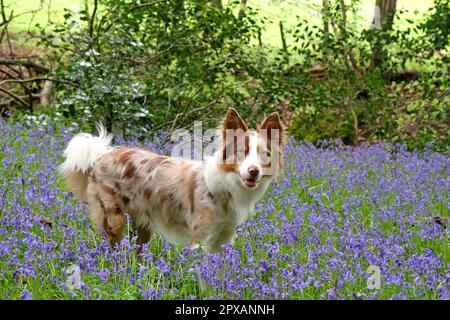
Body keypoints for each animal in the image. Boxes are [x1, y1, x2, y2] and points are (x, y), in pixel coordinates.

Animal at [59, 109, 284, 254]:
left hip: (142, 228)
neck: (224, 188)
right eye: (241, 152)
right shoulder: (200, 239)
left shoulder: (223, 239)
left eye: (265, 154)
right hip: (114, 221)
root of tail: (103, 155)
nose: (254, 171)